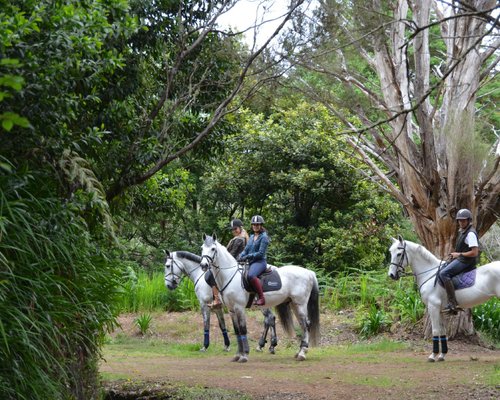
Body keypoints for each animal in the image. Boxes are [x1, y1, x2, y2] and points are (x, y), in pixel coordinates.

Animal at [197, 234, 318, 362]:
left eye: (213, 249)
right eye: (202, 248)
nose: (203, 265)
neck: (229, 275)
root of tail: (309, 272)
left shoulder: (239, 308)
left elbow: (243, 329)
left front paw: (244, 355)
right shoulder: (231, 310)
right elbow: (237, 330)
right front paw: (238, 355)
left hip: (300, 304)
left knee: (306, 325)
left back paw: (302, 353)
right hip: (294, 304)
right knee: (302, 325)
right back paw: (298, 352)